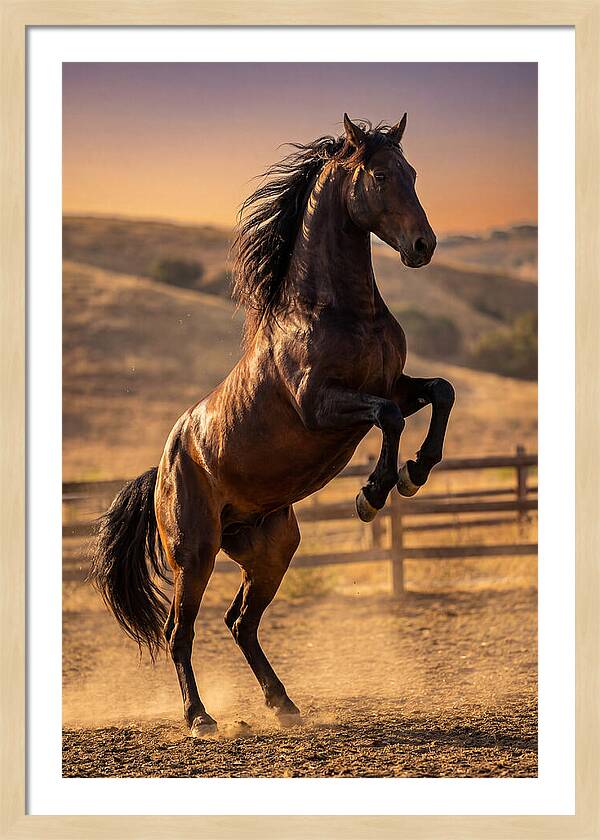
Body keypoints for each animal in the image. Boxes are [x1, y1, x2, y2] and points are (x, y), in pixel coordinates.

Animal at [89, 113, 455, 736]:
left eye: (412, 172)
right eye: (381, 175)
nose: (423, 246)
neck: (335, 310)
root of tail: (162, 467)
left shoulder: (394, 386)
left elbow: (440, 393)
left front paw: (415, 473)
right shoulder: (321, 405)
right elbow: (386, 420)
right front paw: (372, 494)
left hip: (271, 547)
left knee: (240, 622)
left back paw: (283, 704)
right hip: (196, 553)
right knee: (180, 633)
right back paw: (200, 718)